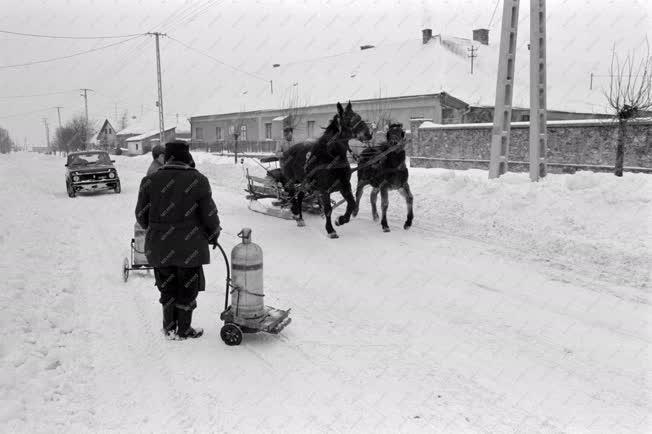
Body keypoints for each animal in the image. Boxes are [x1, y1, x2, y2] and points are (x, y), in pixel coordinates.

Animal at [280, 100, 372, 239]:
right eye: (349, 119)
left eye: (359, 117)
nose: (369, 134)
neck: (331, 155)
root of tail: (286, 152)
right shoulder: (324, 190)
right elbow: (328, 209)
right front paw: (330, 230)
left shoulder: (344, 185)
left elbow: (352, 203)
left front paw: (341, 220)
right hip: (291, 180)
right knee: (292, 195)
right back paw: (295, 212)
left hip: (306, 184)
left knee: (300, 197)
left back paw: (300, 217)